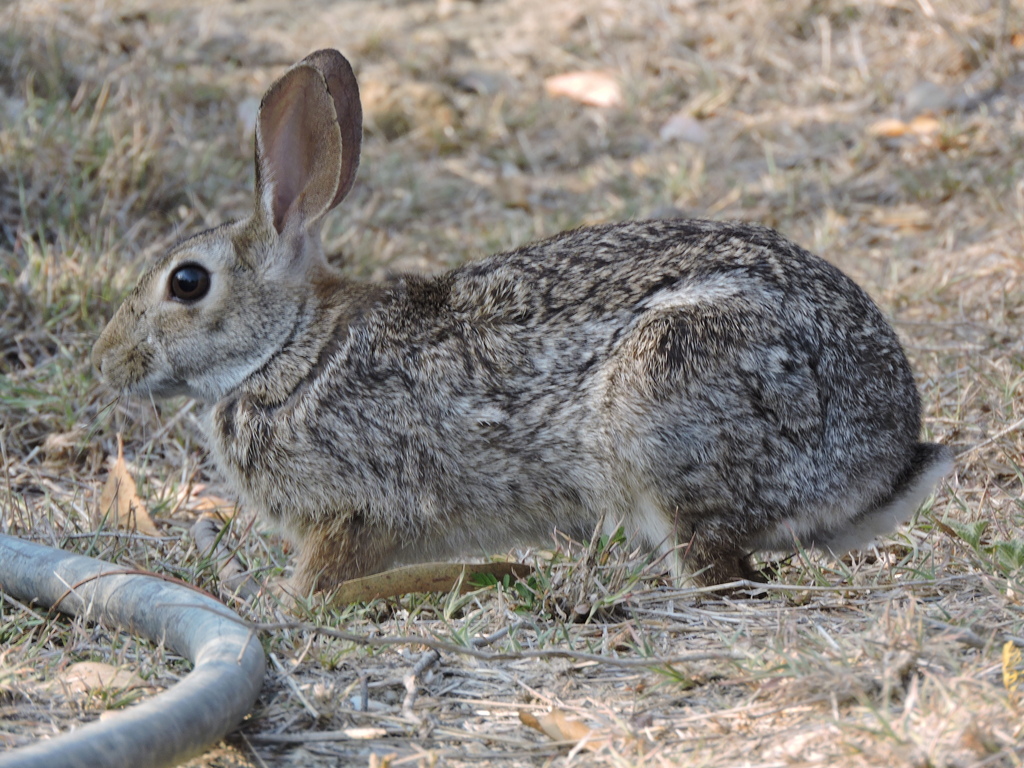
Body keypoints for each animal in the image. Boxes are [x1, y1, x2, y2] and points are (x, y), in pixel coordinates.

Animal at [94, 49, 950, 593]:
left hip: (670, 407)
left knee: (718, 570)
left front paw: (277, 600)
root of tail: (881, 460)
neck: (292, 353)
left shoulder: (355, 508)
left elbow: (321, 575)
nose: (108, 363)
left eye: (187, 283)